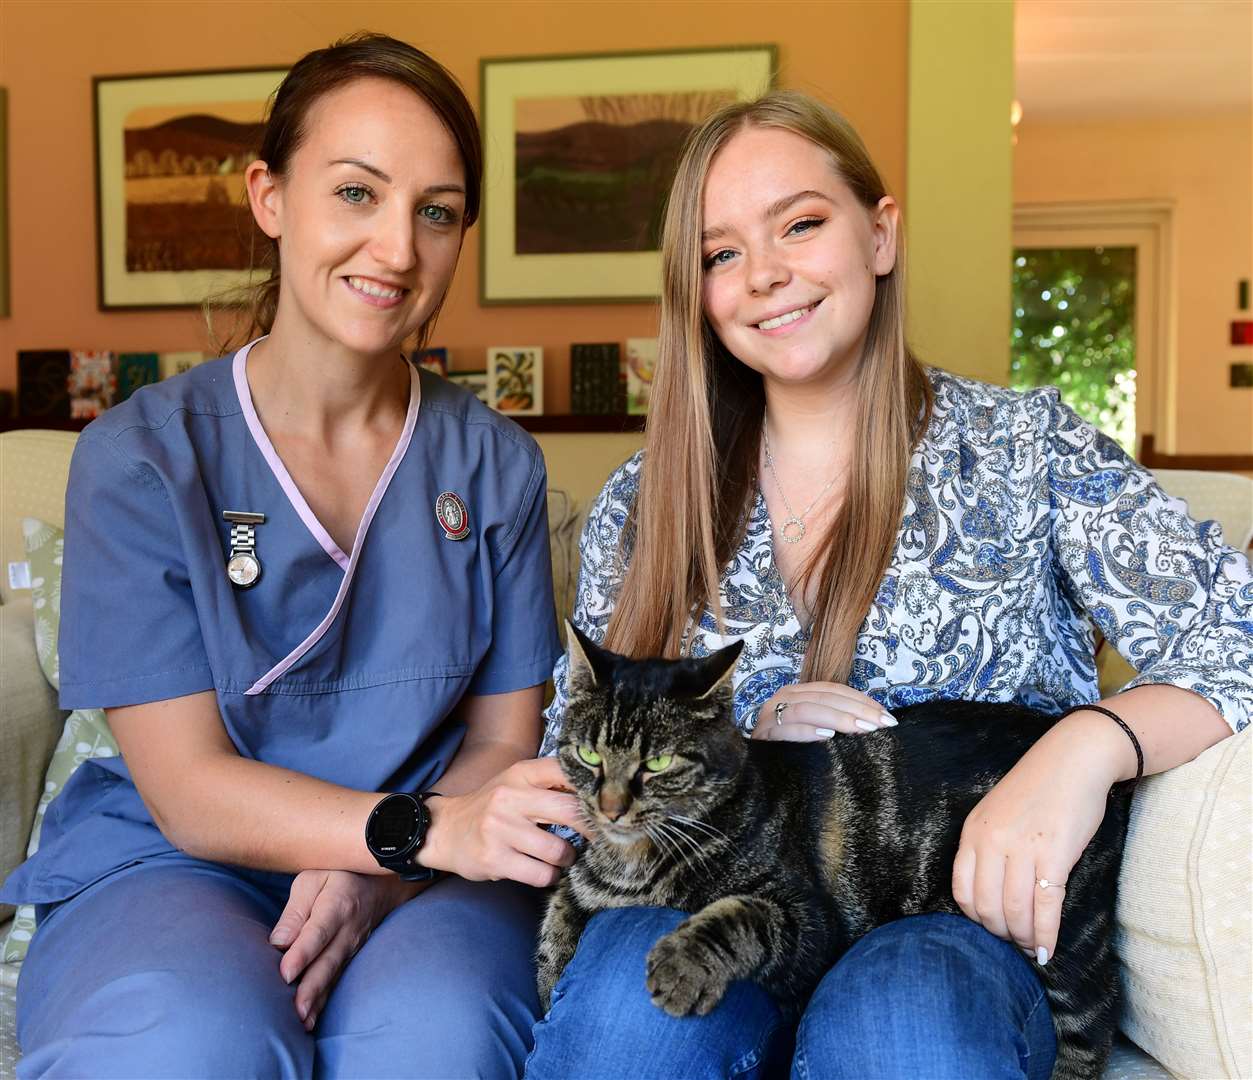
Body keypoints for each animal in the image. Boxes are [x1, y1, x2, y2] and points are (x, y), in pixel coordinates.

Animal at [538, 626, 1137, 1080]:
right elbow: (558, 911)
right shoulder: (585, 879)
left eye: (657, 764)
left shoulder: (810, 920)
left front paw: (682, 963)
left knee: (1097, 1012)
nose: (610, 807)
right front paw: (548, 986)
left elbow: (738, 916)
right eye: (588, 754)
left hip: (1060, 927)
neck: (633, 862)